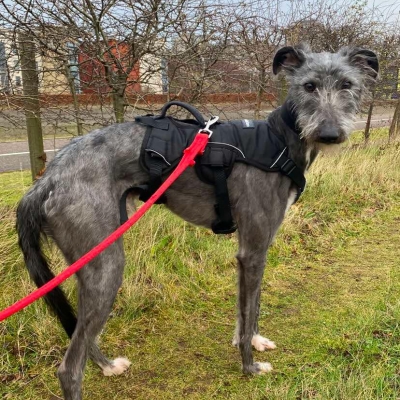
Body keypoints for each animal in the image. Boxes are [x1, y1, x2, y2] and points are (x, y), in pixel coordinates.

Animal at [15, 44, 378, 400]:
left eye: (347, 84)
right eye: (309, 86)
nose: (329, 134)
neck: (278, 141)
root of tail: (45, 181)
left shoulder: (252, 249)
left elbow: (248, 308)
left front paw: (253, 340)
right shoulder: (253, 250)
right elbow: (249, 309)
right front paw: (249, 366)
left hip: (89, 262)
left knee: (80, 335)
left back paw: (107, 366)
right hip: (106, 265)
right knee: (69, 368)